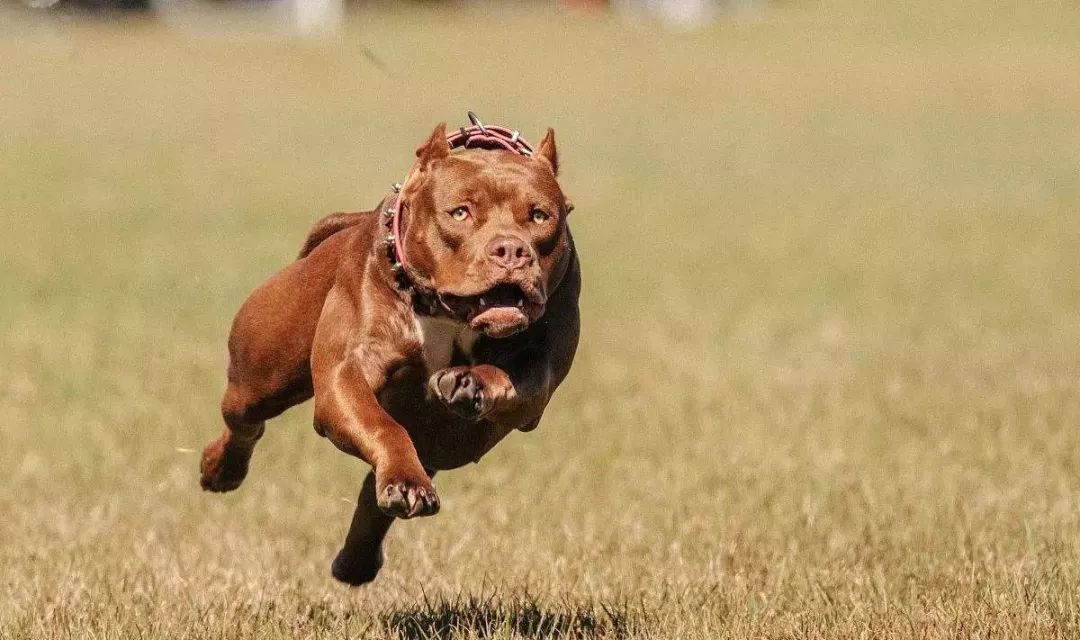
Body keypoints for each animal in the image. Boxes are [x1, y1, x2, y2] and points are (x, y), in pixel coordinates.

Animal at [197, 116, 578, 582]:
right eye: (460, 212)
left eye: (540, 216)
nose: (511, 249)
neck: (446, 312)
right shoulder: (345, 379)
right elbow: (381, 427)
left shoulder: (539, 377)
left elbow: (510, 380)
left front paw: (469, 383)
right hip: (261, 372)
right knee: (245, 419)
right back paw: (221, 470)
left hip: (437, 438)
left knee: (378, 485)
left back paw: (359, 555)